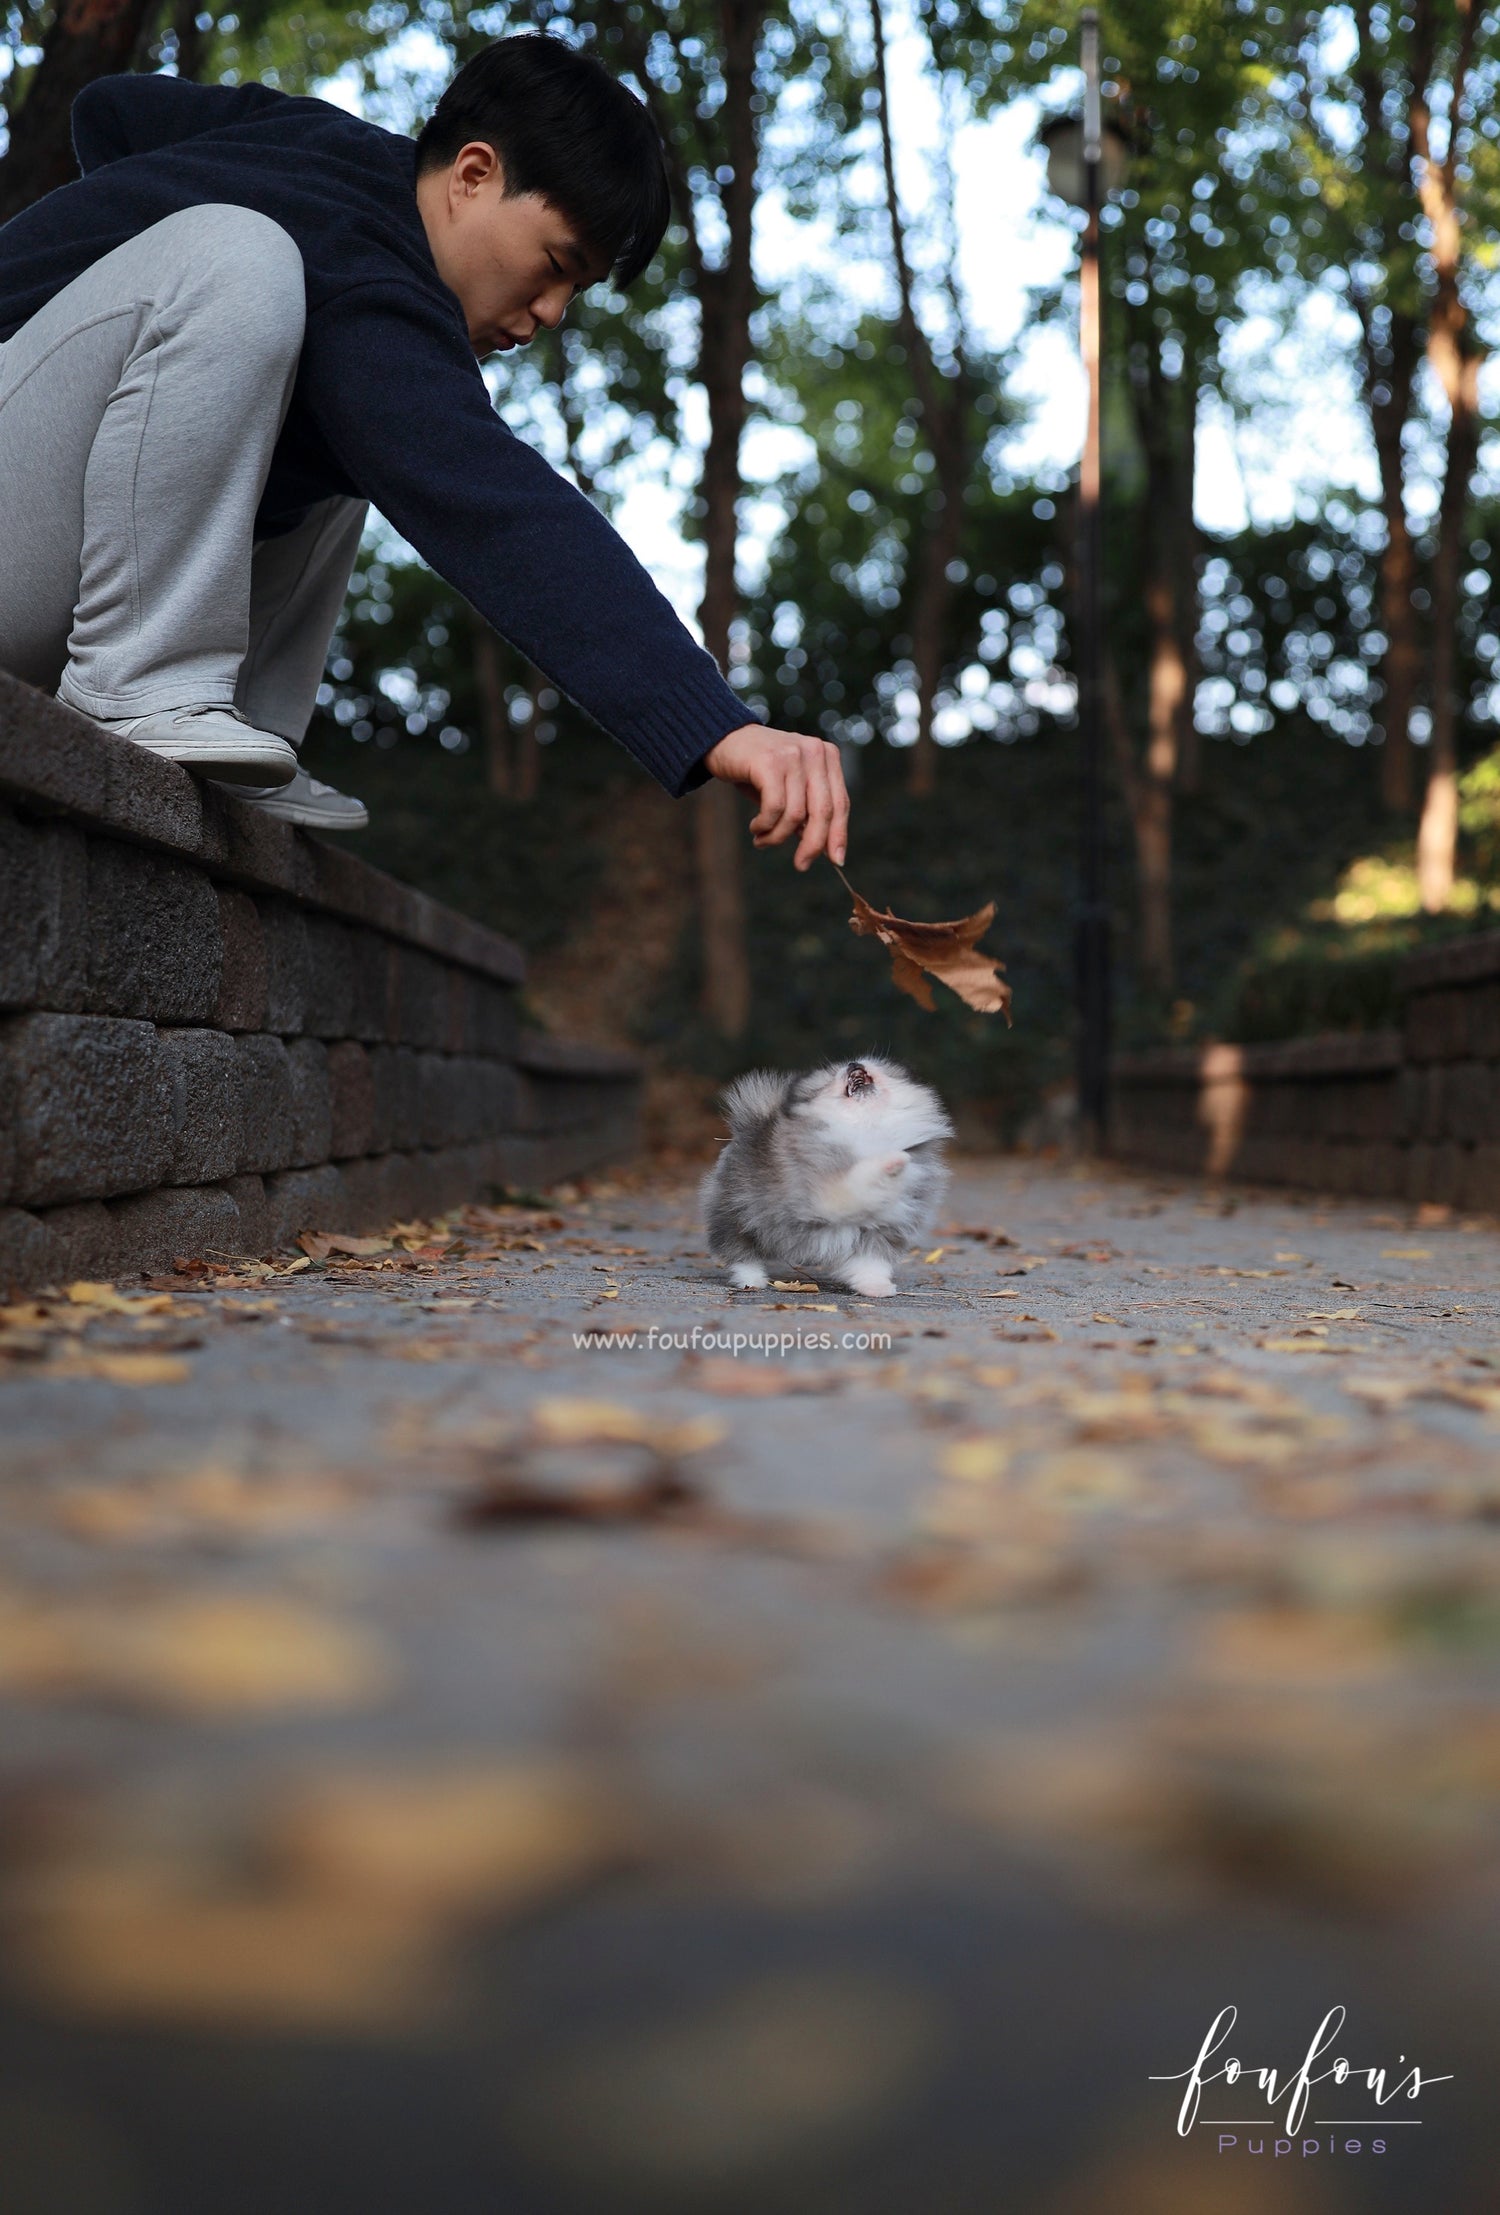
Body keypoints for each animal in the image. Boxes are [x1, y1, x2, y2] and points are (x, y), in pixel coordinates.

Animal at [700, 1054, 948, 1293]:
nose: (853, 1064)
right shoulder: (825, 1193)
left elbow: (871, 1262)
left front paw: (875, 1287)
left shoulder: (882, 1226)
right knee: (739, 1252)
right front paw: (892, 1160)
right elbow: (858, 1179)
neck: (868, 1130)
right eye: (832, 1076)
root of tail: (749, 1127)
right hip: (738, 1214)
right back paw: (751, 1280)